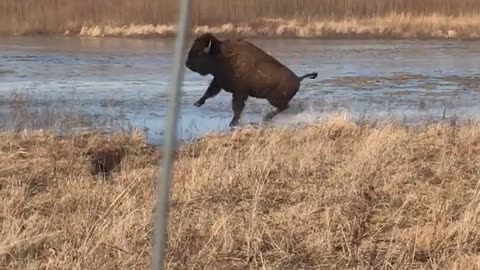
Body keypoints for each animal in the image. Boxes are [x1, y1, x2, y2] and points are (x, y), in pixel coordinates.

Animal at [186, 32, 316, 127]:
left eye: (199, 53)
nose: (187, 64)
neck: (222, 56)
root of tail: (298, 79)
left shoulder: (240, 93)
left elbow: (237, 108)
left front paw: (233, 123)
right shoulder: (218, 81)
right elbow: (209, 92)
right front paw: (197, 103)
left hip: (274, 99)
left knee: (284, 107)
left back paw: (267, 117)